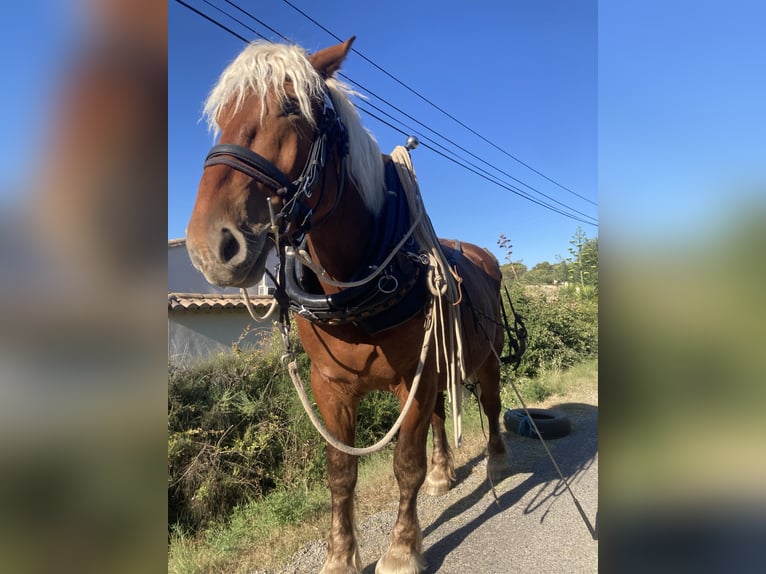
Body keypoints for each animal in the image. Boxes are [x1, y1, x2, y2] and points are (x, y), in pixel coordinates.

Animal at [186, 37, 511, 574]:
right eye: (223, 116)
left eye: (292, 107)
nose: (210, 245)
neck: (356, 291)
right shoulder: (331, 385)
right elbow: (340, 472)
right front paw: (340, 555)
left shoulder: (412, 380)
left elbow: (405, 465)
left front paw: (401, 549)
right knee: (442, 416)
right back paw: (444, 471)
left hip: (484, 358)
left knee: (491, 402)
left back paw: (498, 460)